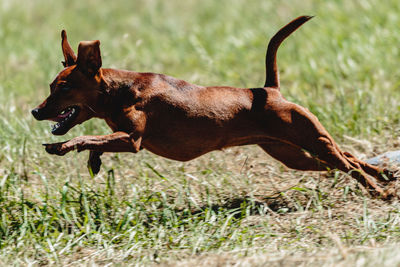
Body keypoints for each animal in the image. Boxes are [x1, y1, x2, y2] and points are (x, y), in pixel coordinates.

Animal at [30, 15, 394, 198]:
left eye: (64, 87)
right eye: (51, 86)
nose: (35, 111)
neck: (120, 90)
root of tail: (269, 90)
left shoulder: (132, 141)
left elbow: (86, 138)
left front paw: (62, 147)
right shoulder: (123, 137)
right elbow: (95, 142)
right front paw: (92, 160)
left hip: (311, 139)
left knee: (348, 163)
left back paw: (379, 190)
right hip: (295, 154)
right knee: (347, 159)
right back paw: (384, 175)